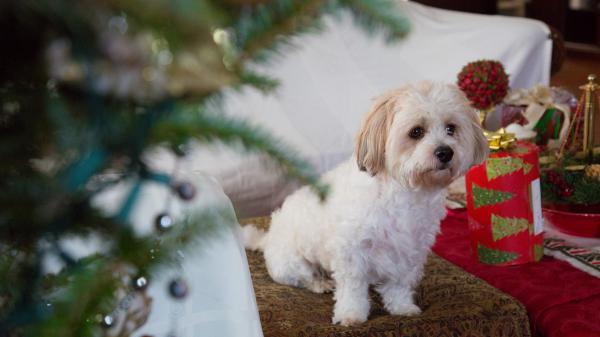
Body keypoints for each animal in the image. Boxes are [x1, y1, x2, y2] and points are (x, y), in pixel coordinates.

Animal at [243, 80, 488, 324]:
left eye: (451, 128)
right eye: (416, 132)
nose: (445, 152)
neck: (405, 192)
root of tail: (267, 238)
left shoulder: (409, 252)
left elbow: (399, 286)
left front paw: (402, 307)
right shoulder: (351, 253)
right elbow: (352, 289)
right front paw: (351, 315)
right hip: (293, 264)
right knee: (306, 278)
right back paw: (321, 283)